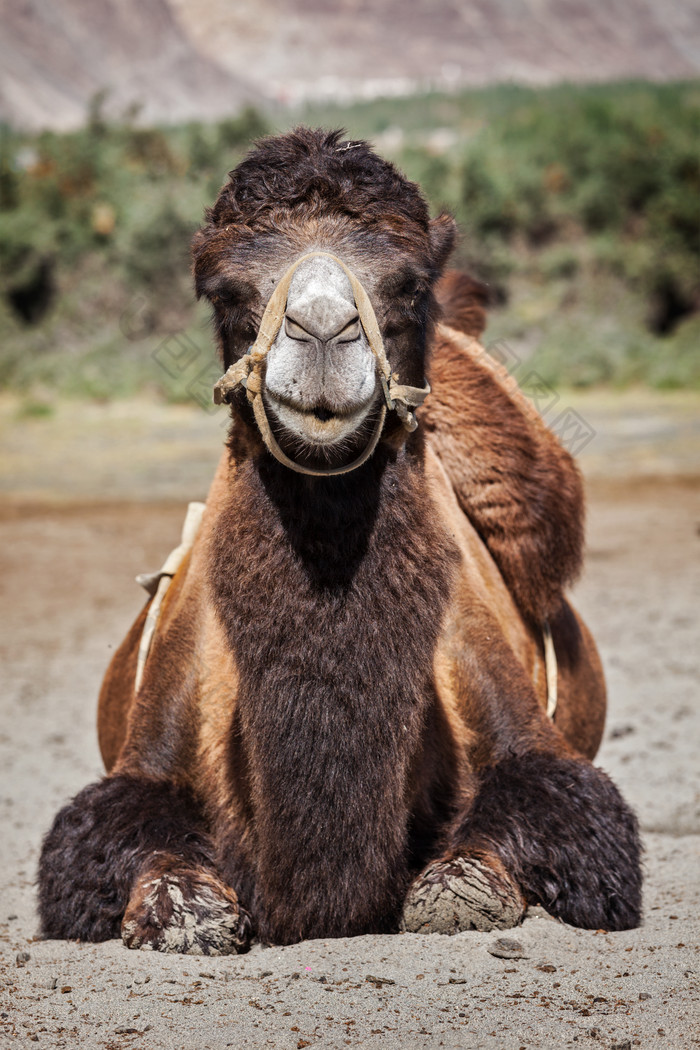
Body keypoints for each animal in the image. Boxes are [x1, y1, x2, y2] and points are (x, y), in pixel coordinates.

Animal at [36, 129, 642, 953]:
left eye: (410, 284)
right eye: (224, 290)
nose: (323, 331)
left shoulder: (538, 750)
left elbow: (502, 858)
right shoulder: (139, 767)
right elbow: (126, 857)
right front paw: (186, 909)